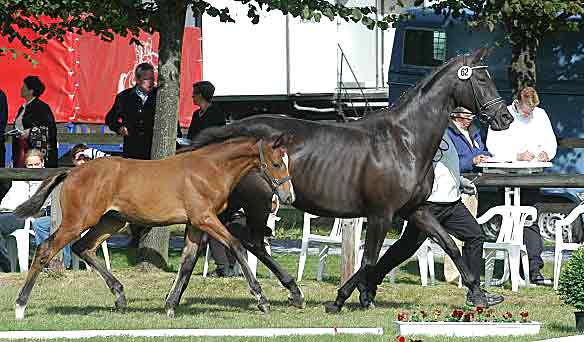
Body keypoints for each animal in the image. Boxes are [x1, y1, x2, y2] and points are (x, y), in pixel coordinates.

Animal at [12, 126, 296, 320]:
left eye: (286, 162)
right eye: (276, 163)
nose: (288, 196)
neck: (209, 169)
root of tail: (72, 171)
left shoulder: (195, 224)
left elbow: (187, 262)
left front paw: (170, 306)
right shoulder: (205, 218)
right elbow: (236, 245)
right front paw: (261, 299)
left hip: (111, 221)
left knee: (84, 248)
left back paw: (120, 295)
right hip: (78, 221)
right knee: (46, 249)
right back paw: (20, 306)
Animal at [167, 48, 512, 316]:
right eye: (482, 79)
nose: (505, 118)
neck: (404, 141)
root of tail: (229, 132)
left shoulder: (415, 210)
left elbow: (449, 244)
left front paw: (480, 294)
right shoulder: (380, 213)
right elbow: (369, 259)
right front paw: (340, 299)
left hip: (227, 205)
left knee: (210, 243)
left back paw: (178, 299)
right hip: (255, 203)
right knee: (249, 242)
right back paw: (289, 291)